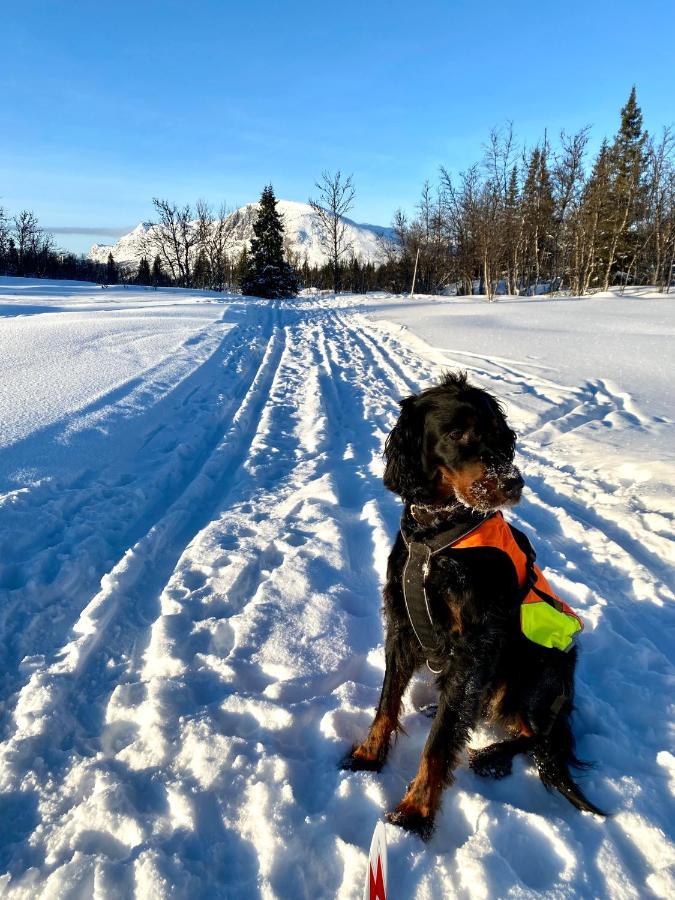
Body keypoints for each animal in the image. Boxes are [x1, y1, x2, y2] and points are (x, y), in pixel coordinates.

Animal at [344, 370, 604, 836]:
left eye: (502, 435)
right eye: (456, 433)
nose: (512, 483)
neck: (436, 536)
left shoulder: (475, 646)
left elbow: (440, 740)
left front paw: (415, 811)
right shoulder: (402, 627)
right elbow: (387, 703)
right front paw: (369, 754)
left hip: (532, 673)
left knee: (536, 735)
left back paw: (491, 756)